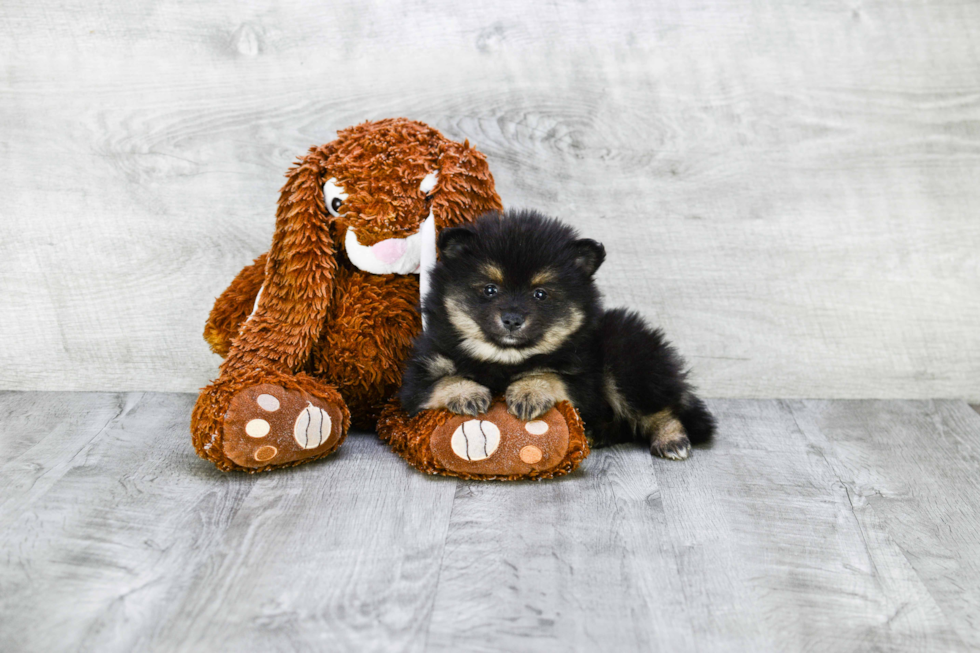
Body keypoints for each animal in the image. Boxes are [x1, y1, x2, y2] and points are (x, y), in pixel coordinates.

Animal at [396, 209, 712, 458]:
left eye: (540, 294)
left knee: (661, 410)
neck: (505, 359)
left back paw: (671, 440)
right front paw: (469, 393)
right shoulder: (416, 380)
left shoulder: (584, 381)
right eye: (490, 289)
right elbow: (442, 382)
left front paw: (529, 391)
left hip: (626, 357)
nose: (512, 319)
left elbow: (551, 375)